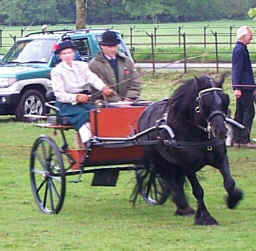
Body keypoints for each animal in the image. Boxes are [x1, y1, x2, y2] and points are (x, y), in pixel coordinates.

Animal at [135, 74, 243, 226]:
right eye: (204, 103)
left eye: (224, 100)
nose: (221, 131)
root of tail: (146, 110)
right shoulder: (187, 166)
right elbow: (198, 191)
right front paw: (205, 217)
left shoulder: (220, 159)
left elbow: (229, 182)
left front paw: (233, 199)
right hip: (160, 161)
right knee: (167, 179)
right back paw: (182, 205)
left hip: (173, 164)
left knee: (175, 181)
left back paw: (182, 206)